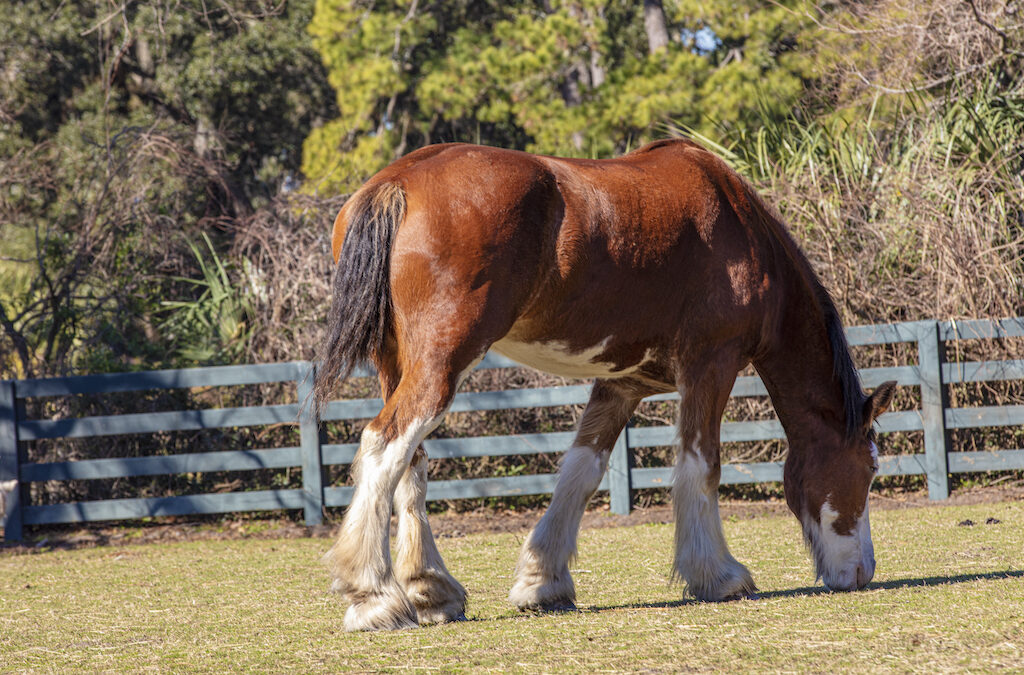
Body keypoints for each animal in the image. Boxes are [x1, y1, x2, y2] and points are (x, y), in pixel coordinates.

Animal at [311, 138, 897, 635]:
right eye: (869, 470)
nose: (863, 573)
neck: (739, 227)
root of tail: (396, 183)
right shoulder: (712, 363)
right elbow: (701, 464)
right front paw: (717, 575)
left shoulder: (624, 383)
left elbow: (582, 469)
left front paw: (543, 582)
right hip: (441, 362)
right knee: (385, 444)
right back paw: (375, 599)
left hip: (397, 363)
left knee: (410, 461)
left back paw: (431, 590)